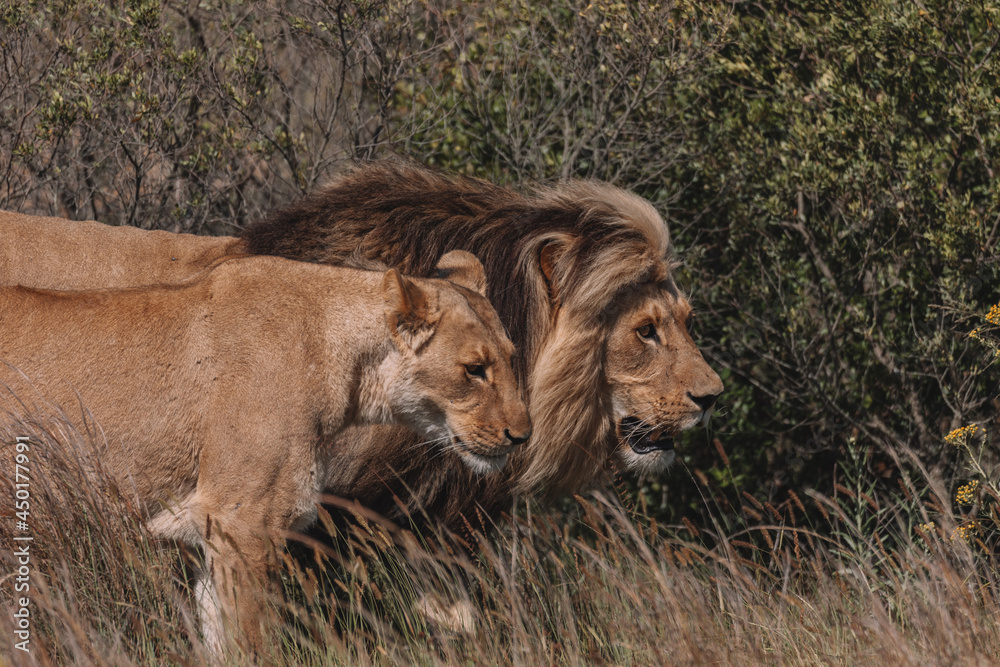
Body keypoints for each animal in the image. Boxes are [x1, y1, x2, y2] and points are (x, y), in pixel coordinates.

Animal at [0, 249, 531, 652]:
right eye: (474, 369)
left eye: (511, 358)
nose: (522, 436)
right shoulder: (244, 521)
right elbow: (253, 644)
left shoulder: (211, 532)